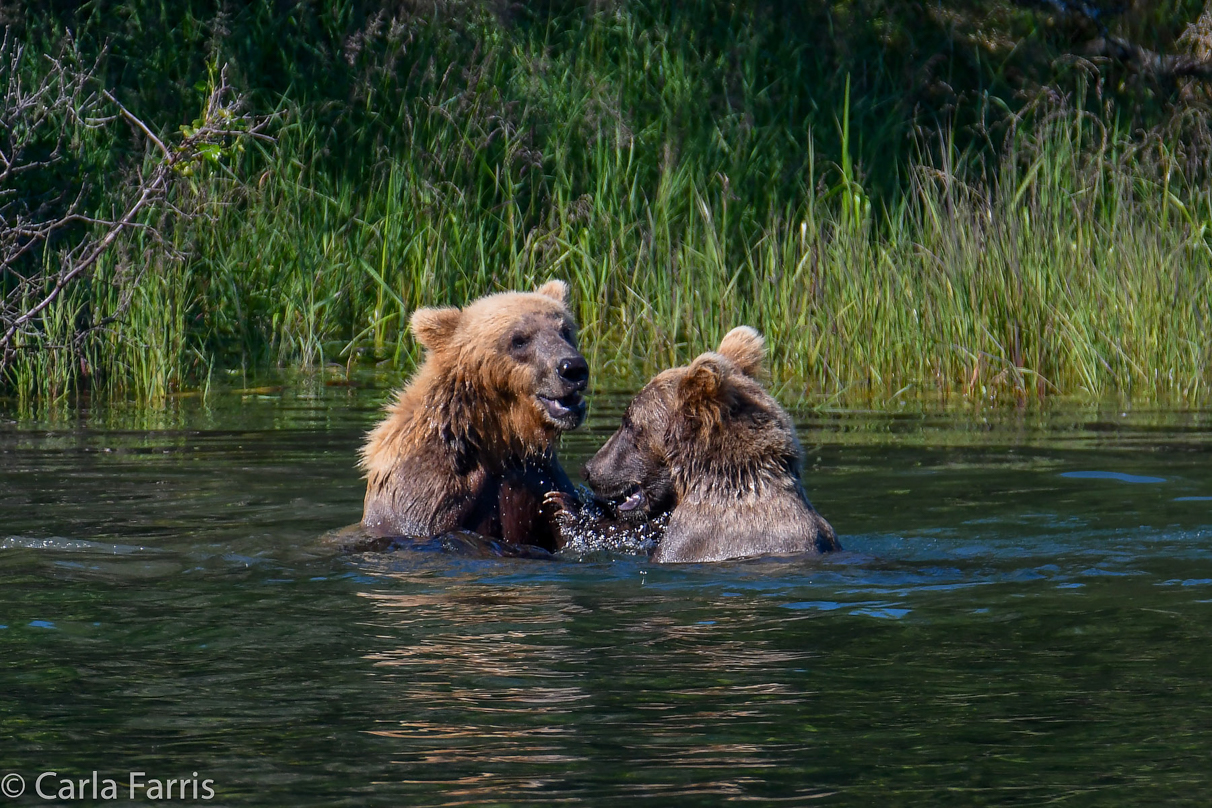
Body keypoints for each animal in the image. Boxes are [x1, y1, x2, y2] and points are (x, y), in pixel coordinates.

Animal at [356, 281, 589, 552]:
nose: (572, 368)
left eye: (565, 330)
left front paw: (564, 507)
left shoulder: (539, 473)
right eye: (519, 339)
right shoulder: (427, 487)